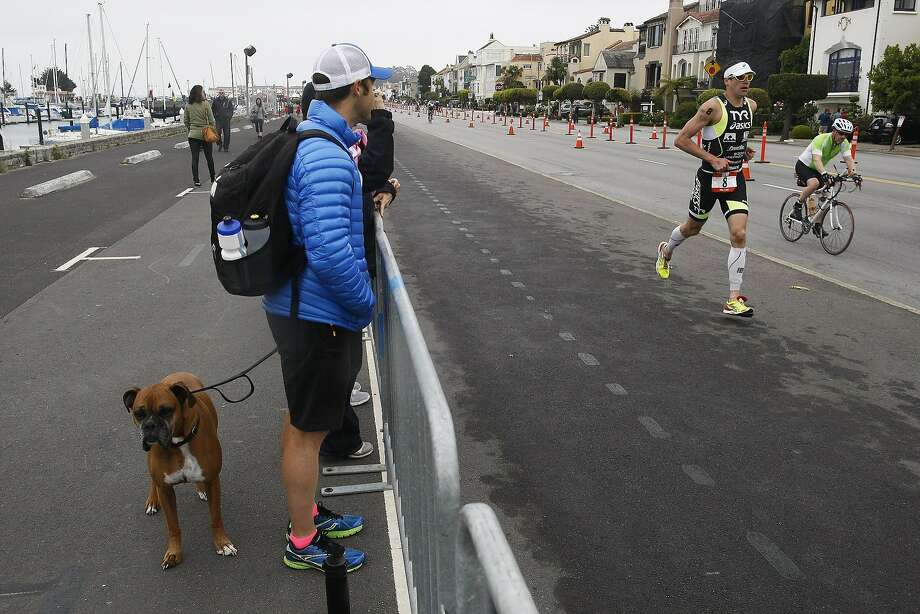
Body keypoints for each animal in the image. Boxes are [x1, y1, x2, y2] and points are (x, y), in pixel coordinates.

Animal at [122, 372, 237, 572]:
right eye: (139, 413)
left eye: (165, 410)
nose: (149, 425)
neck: (178, 444)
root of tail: (178, 373)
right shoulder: (166, 490)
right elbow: (173, 526)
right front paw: (173, 553)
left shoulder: (213, 480)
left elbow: (215, 517)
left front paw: (222, 543)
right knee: (153, 481)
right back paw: (152, 501)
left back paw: (201, 489)